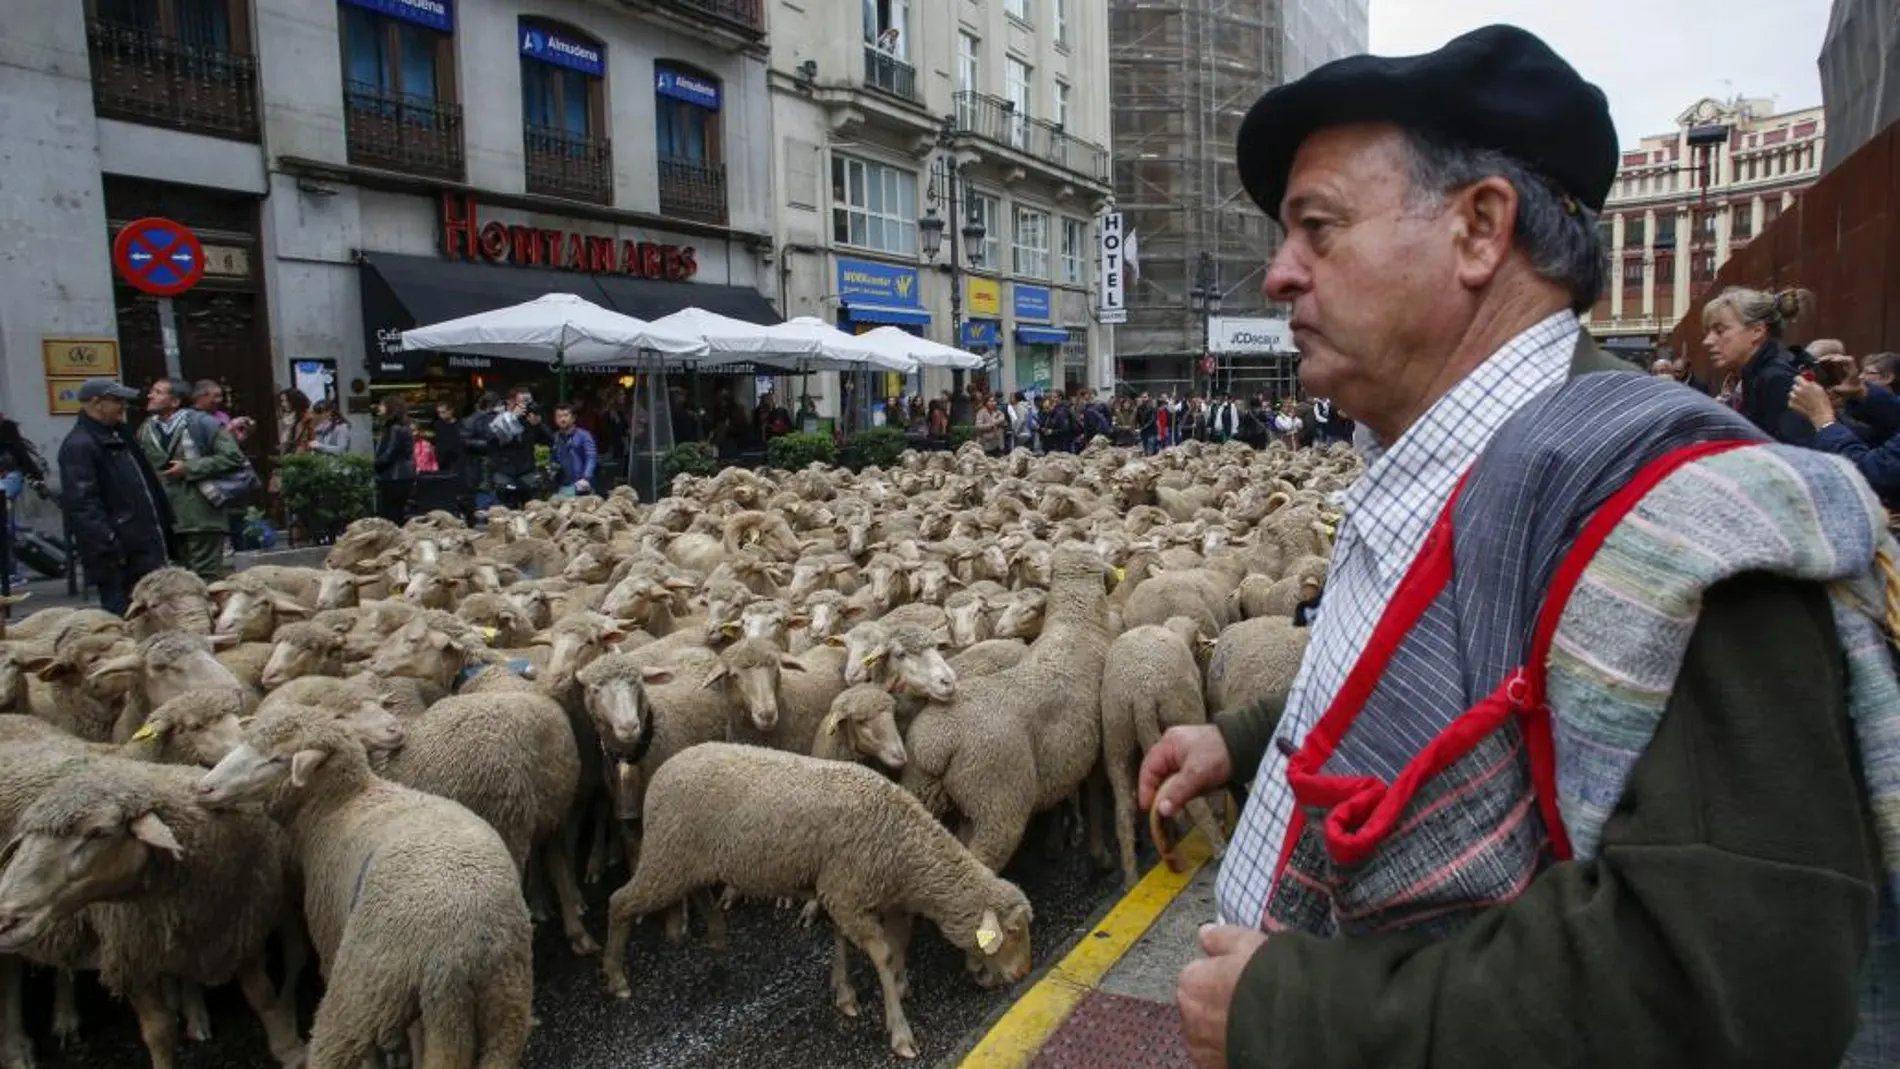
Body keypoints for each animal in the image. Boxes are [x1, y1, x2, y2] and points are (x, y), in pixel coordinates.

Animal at [0, 755, 302, 1063]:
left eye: (98, 832)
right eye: (25, 837)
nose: (6, 917)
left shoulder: (243, 932)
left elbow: (263, 996)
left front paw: (291, 1048)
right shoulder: (131, 956)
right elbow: (160, 1030)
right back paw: (17, 1049)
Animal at [197, 706, 535, 1069]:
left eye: (278, 759)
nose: (204, 788)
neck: (345, 803)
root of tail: (462, 953)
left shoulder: (331, 933)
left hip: (365, 982)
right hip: (505, 1006)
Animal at [600, 744, 1033, 1063]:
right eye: (1012, 931)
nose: (1023, 974)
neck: (904, 848)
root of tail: (663, 769)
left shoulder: (840, 891)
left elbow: (848, 941)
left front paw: (846, 993)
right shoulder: (846, 892)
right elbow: (882, 954)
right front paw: (900, 1031)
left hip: (689, 860)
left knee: (699, 892)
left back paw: (719, 941)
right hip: (666, 856)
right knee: (619, 902)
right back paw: (615, 977)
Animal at [1102, 615, 1231, 892]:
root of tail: (1139, 694)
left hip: (1116, 737)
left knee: (1124, 809)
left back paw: (1131, 879)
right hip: (1179, 715)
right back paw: (1218, 846)